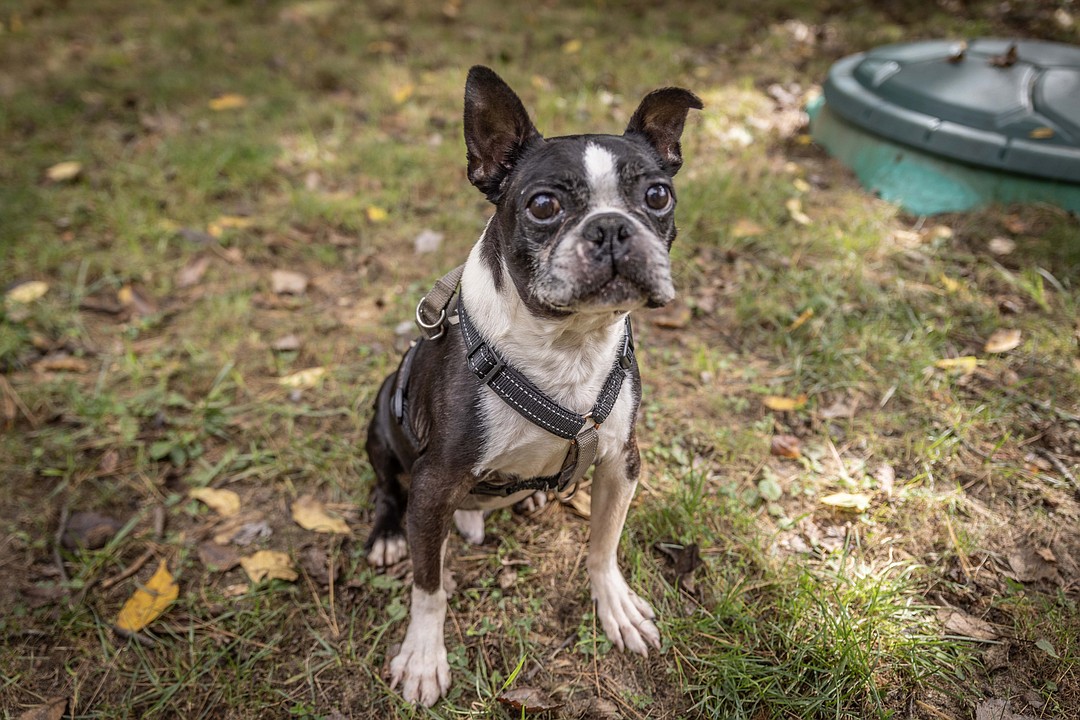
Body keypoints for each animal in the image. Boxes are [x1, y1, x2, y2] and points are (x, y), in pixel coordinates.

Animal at [362, 64, 699, 708]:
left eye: (658, 196)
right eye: (543, 205)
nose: (612, 228)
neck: (566, 345)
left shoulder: (621, 460)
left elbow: (603, 546)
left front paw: (615, 607)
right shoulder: (434, 484)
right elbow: (428, 586)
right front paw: (423, 657)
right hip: (379, 421)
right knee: (389, 489)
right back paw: (391, 534)